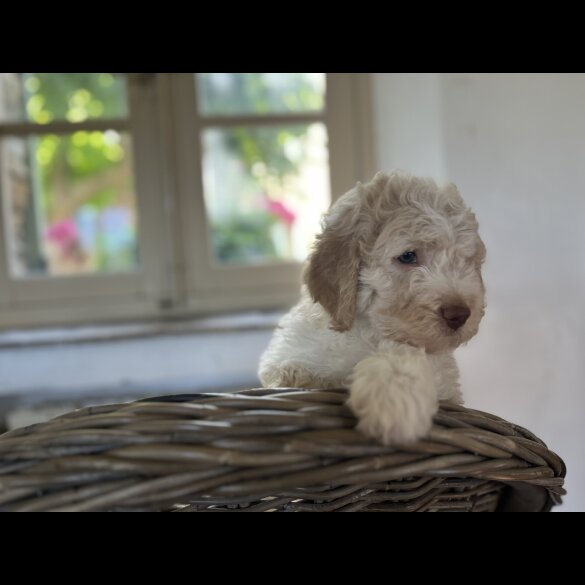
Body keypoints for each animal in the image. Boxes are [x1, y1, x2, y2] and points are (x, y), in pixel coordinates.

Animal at [258, 171, 486, 444]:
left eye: (466, 260)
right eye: (408, 256)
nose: (459, 314)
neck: (368, 331)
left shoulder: (446, 384)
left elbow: (406, 355)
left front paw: (394, 401)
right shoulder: (284, 359)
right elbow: (298, 375)